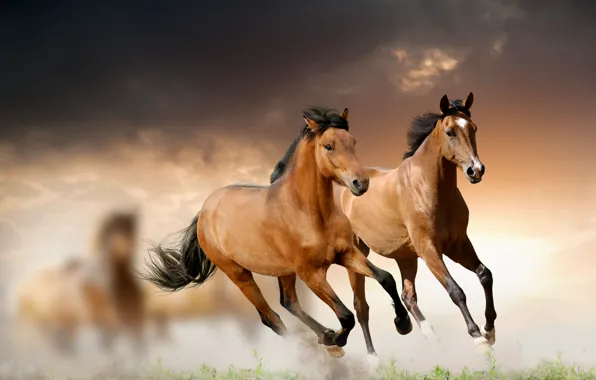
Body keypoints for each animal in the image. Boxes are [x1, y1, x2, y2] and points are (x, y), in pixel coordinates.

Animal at [12, 211, 146, 354]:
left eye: (132, 228)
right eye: (116, 230)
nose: (128, 249)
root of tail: (24, 288)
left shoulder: (134, 326)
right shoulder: (107, 327)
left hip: (68, 324)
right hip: (45, 324)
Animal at [143, 108, 412, 358]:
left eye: (353, 142)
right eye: (328, 146)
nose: (361, 183)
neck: (310, 213)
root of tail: (204, 211)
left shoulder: (346, 253)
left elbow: (386, 278)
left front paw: (403, 324)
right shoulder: (310, 273)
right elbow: (346, 316)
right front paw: (336, 339)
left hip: (284, 271)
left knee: (288, 302)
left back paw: (324, 336)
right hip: (239, 273)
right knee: (270, 317)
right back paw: (317, 347)